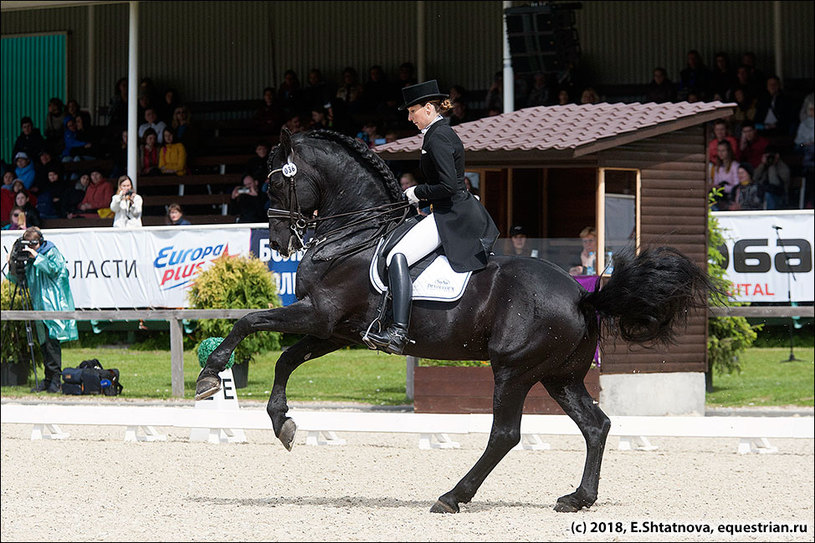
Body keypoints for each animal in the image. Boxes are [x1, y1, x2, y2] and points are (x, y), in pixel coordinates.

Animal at [198, 127, 712, 516]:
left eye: (272, 184)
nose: (280, 242)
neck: (352, 236)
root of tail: (584, 296)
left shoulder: (319, 314)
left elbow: (248, 321)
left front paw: (210, 375)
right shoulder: (338, 331)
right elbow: (285, 359)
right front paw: (281, 422)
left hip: (513, 369)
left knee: (506, 435)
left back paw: (452, 496)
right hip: (559, 376)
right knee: (595, 425)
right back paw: (578, 498)